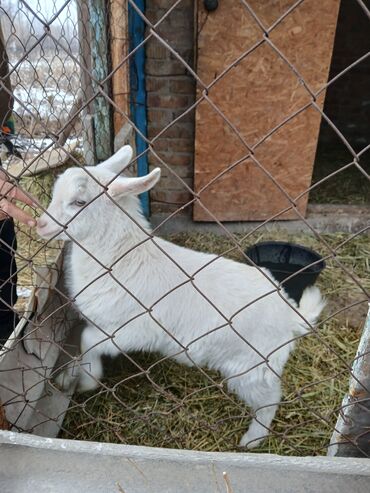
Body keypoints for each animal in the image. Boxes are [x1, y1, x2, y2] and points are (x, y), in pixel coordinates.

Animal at [37, 144, 326, 448]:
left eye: (79, 202)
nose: (40, 224)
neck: (120, 259)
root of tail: (290, 312)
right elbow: (81, 344)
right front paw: (68, 377)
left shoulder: (131, 330)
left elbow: (87, 340)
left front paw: (88, 380)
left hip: (252, 366)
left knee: (270, 399)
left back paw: (252, 439)